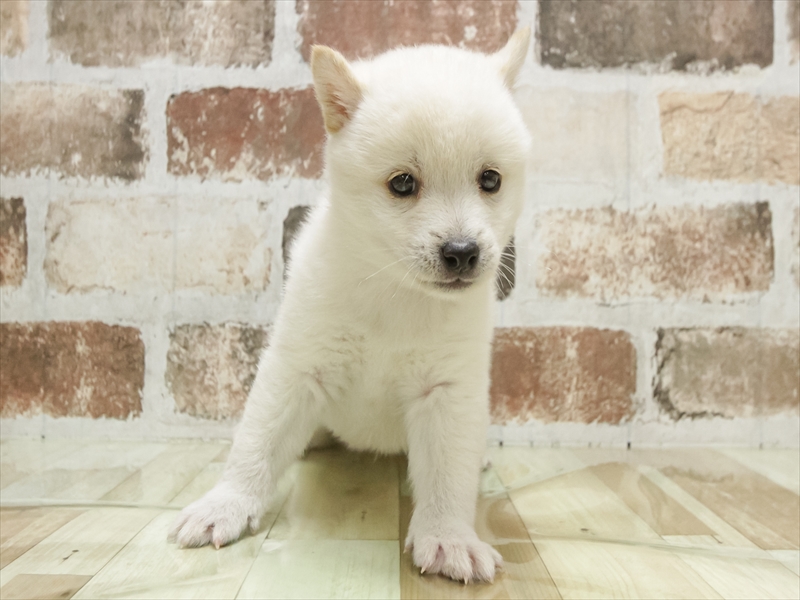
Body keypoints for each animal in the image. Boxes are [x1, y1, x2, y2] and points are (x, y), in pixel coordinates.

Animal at [169, 28, 531, 584]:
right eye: (402, 183)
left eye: (490, 179)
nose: (463, 252)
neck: (393, 292)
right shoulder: (298, 368)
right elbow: (256, 442)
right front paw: (226, 503)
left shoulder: (446, 391)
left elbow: (448, 474)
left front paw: (449, 536)